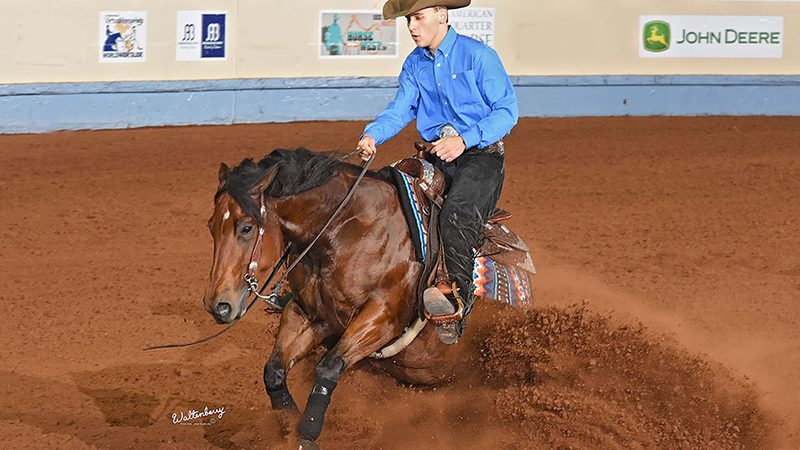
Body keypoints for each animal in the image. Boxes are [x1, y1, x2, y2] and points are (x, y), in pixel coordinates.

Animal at [203, 149, 460, 446]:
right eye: (211, 225)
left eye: (246, 228)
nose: (217, 306)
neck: (343, 231)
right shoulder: (308, 313)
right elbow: (274, 371)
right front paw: (289, 423)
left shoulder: (383, 317)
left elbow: (329, 366)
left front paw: (307, 431)